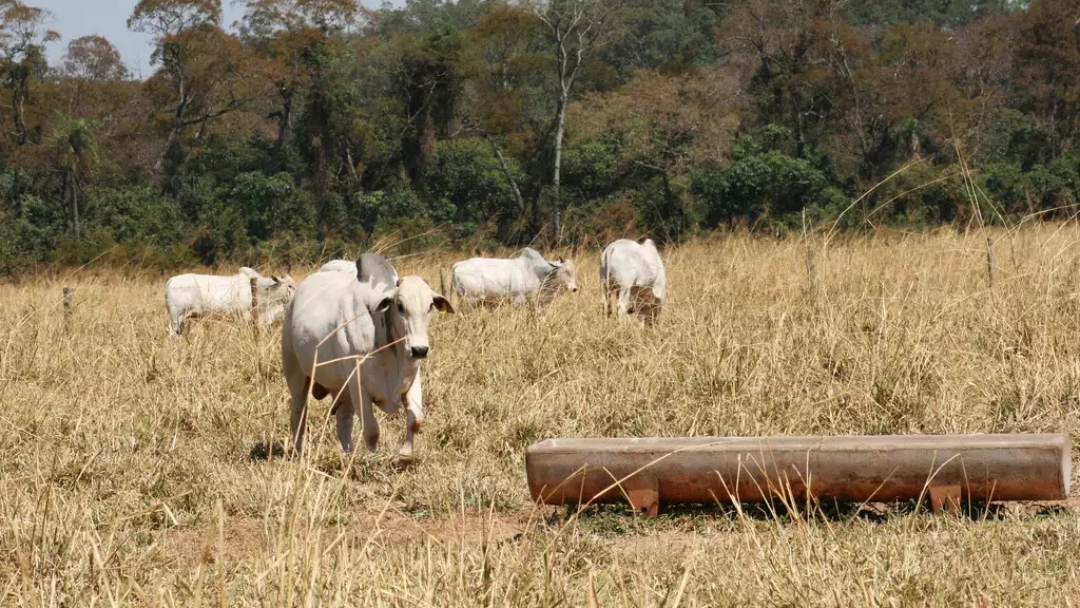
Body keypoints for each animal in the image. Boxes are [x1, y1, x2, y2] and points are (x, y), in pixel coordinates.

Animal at [282, 259, 451, 464]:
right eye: (400, 306)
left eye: (430, 306)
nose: (419, 349)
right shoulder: (358, 386)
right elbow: (371, 431)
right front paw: (373, 459)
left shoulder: (411, 379)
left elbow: (416, 419)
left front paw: (405, 456)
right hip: (296, 373)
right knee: (298, 412)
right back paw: (299, 453)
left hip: (343, 389)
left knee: (343, 419)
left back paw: (348, 454)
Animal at [449, 247, 578, 313]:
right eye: (566, 271)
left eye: (574, 271)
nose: (574, 288)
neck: (535, 271)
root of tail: (458, 264)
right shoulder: (518, 300)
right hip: (471, 299)